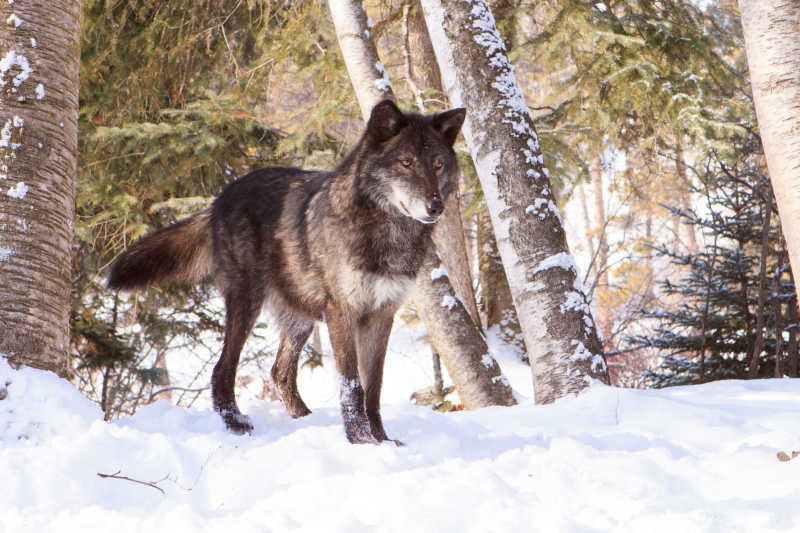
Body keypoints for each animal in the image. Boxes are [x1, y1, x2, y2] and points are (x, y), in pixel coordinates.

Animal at [109, 101, 466, 444]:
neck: (388, 233)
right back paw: (236, 423)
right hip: (248, 303)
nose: (436, 207)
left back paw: (306, 420)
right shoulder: (342, 310)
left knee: (279, 372)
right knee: (222, 369)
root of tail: (220, 198)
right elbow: (352, 384)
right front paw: (361, 440)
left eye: (437, 164)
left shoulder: (382, 315)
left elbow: (374, 387)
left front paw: (382, 439)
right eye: (405, 162)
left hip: (300, 318)